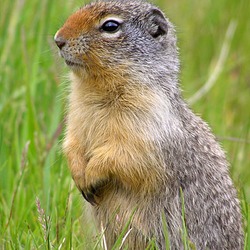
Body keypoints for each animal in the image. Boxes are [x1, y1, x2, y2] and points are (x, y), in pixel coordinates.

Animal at [54, 0, 242, 248]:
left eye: (110, 26)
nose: (58, 39)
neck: (96, 89)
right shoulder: (75, 119)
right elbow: (71, 143)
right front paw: (78, 174)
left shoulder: (148, 125)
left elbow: (125, 155)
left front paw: (92, 173)